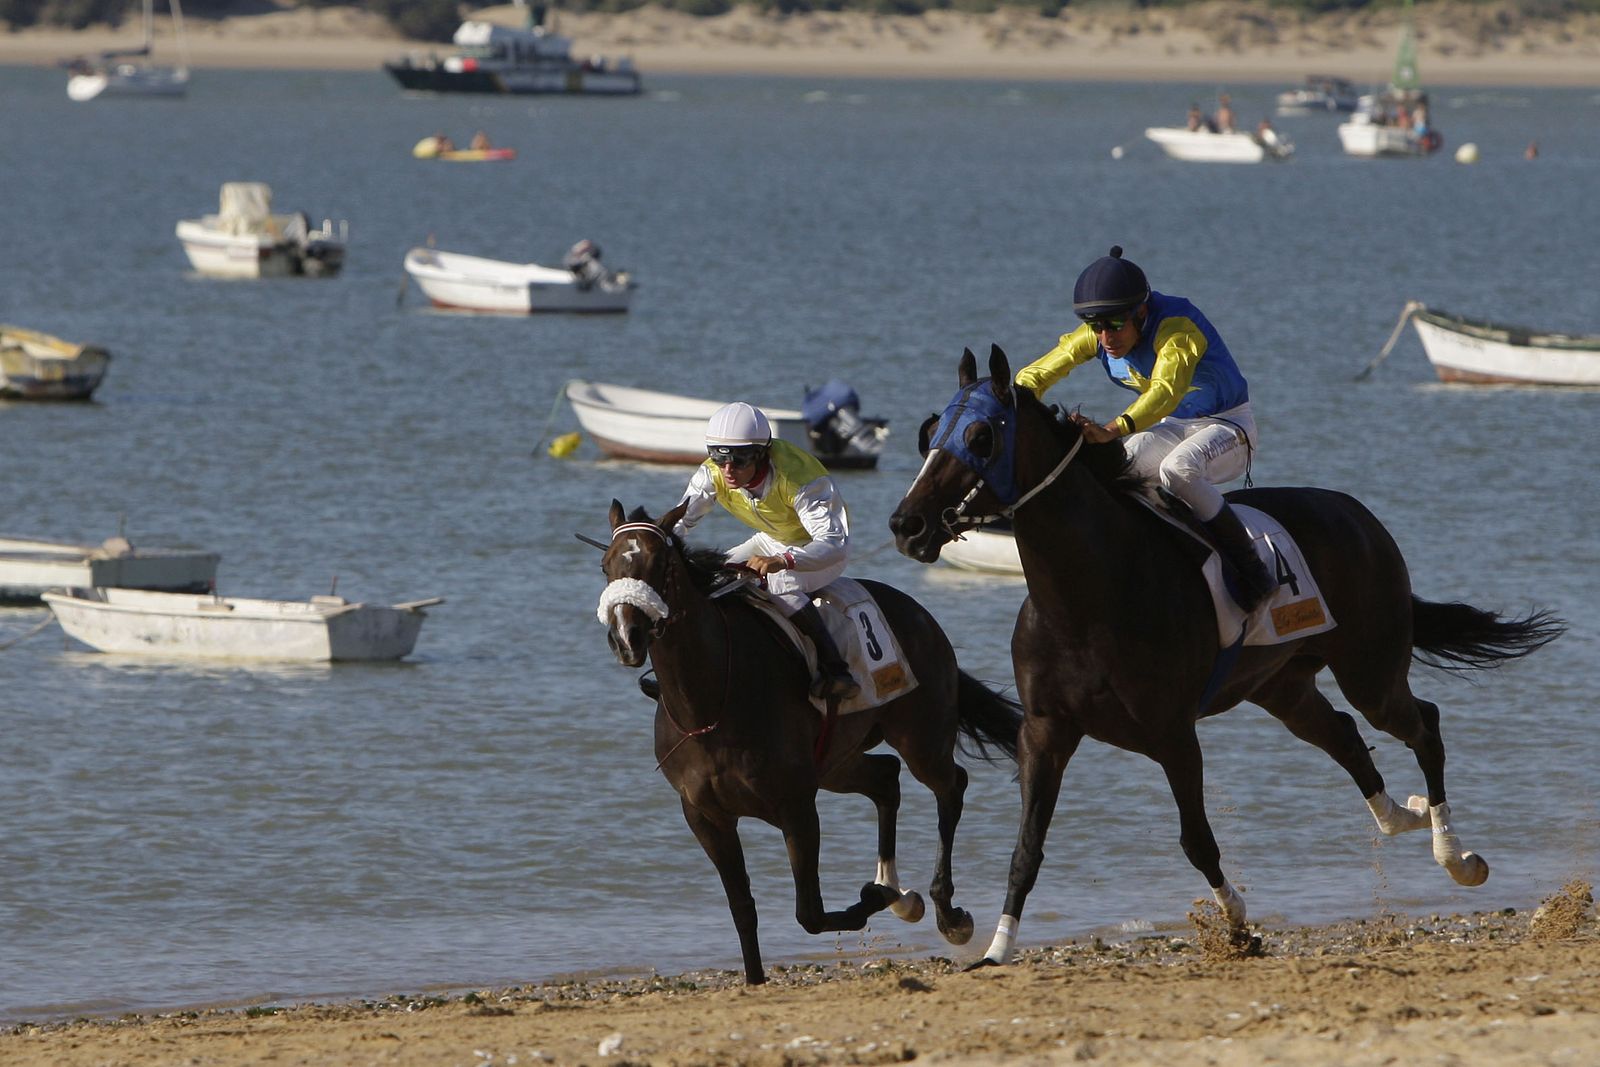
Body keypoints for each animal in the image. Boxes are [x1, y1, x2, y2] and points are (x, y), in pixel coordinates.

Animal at [595, 498, 1023, 984]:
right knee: (886, 778)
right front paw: (756, 978)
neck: (709, 704)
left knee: (950, 787)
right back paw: (897, 889)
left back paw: (943, 911)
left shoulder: (795, 804)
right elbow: (742, 907)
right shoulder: (705, 815)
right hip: (836, 762)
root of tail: (919, 614)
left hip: (921, 739)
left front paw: (878, 896)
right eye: (606, 565)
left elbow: (810, 913)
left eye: (660, 563)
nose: (626, 637)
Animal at [888, 345, 1563, 965]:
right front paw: (996, 947)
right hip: (1282, 687)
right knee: (1345, 735)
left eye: (980, 436)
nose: (907, 524)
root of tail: (1359, 515)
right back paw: (1406, 814)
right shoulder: (1046, 731)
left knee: (1422, 724)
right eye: (930, 432)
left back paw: (1455, 853)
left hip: (1369, 670)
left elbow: (1196, 839)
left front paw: (1237, 922)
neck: (1087, 595)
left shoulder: (1172, 733)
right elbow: (1026, 848)